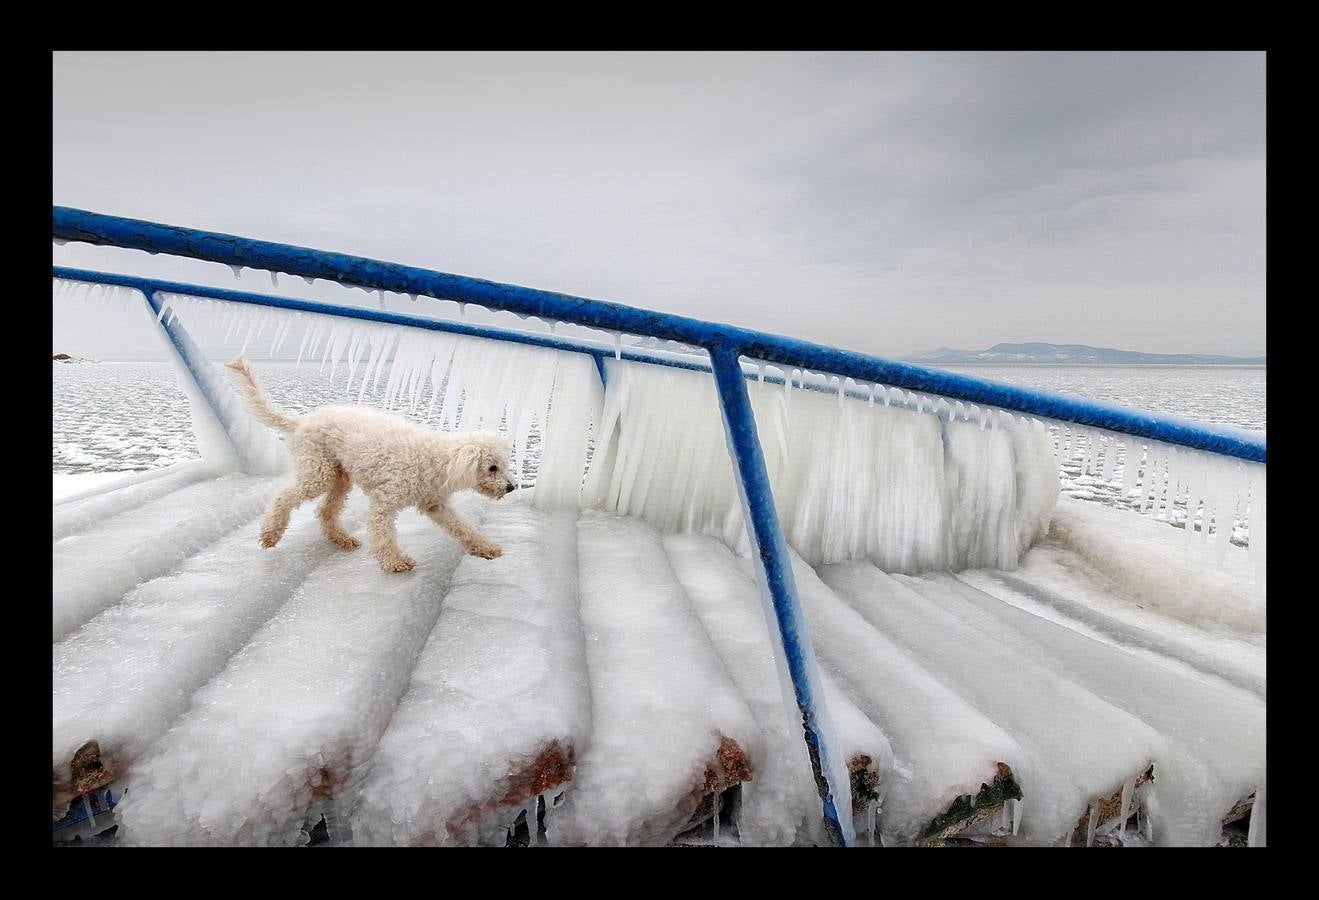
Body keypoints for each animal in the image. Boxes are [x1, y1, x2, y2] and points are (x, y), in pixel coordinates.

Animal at [226, 356, 514, 570]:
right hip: (318, 471)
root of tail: (302, 421)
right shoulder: (385, 500)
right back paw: (270, 534)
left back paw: (341, 539)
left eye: (504, 465)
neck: (435, 460)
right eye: (492, 468)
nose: (511, 487)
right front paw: (395, 562)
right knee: (283, 496)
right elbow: (383, 532)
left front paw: (486, 548)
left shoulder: (435, 504)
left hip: (340, 476)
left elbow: (462, 527)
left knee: (325, 511)